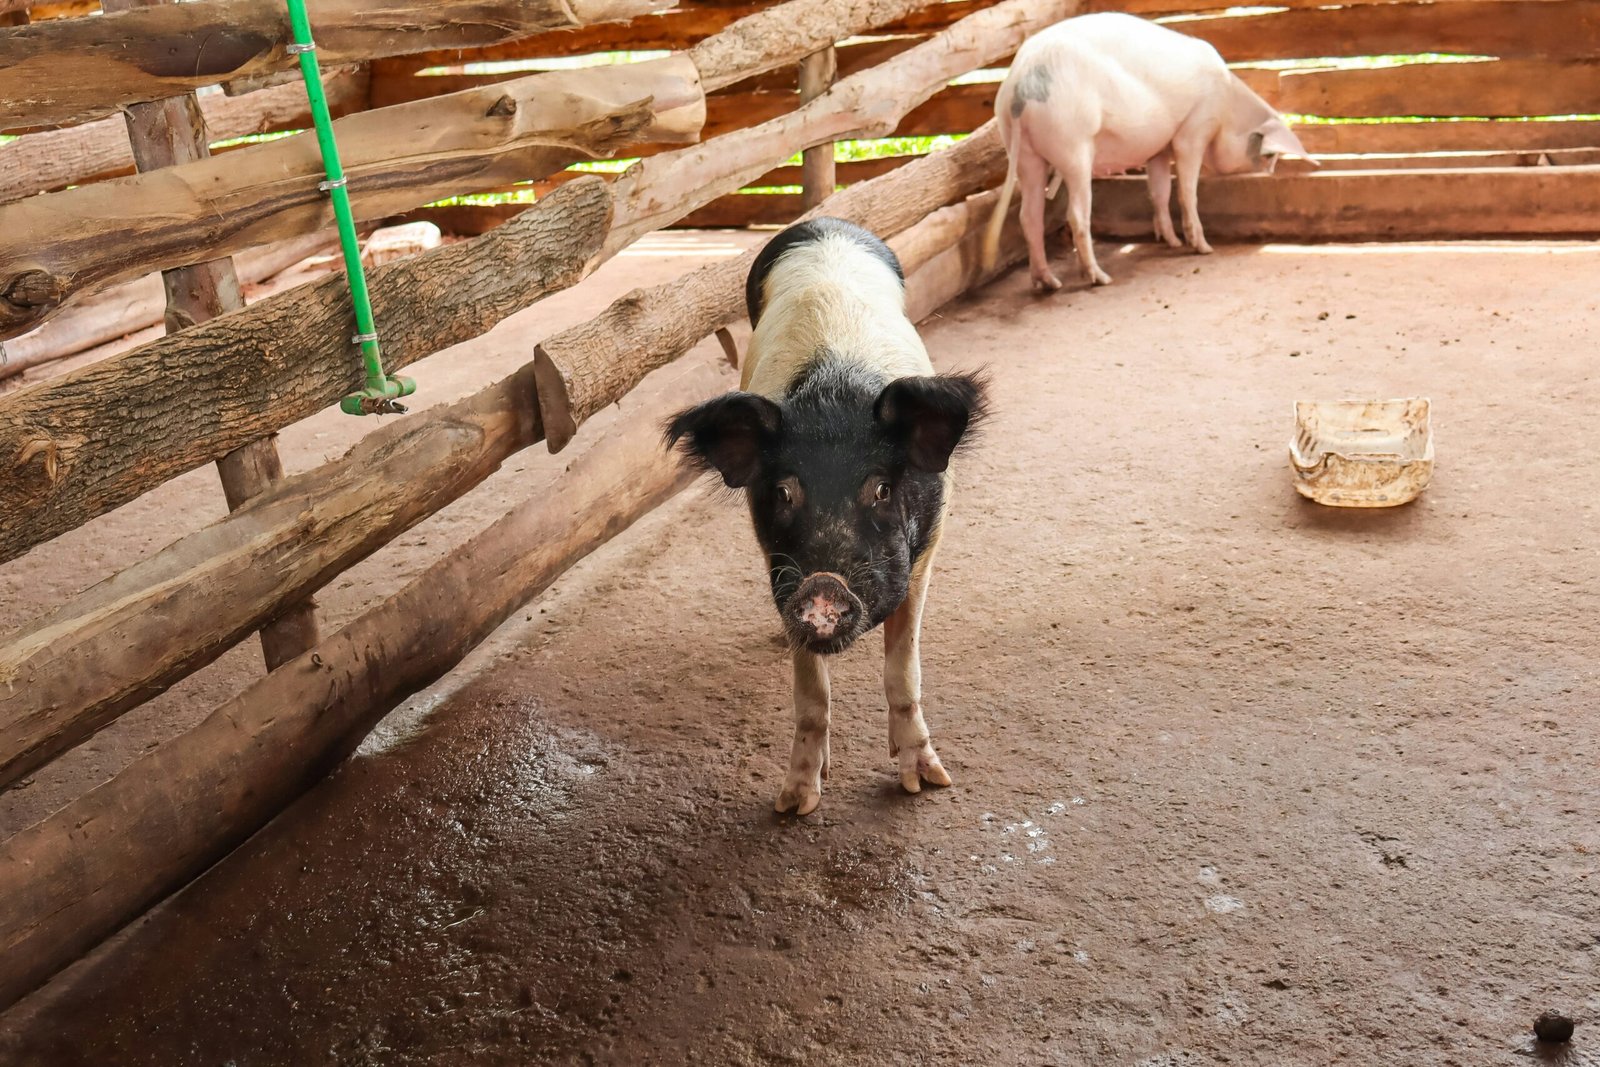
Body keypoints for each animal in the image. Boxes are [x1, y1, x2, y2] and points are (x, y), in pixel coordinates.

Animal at [666, 218, 987, 816]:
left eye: (882, 488)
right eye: (785, 492)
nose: (823, 585)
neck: (833, 392)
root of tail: (822, 222)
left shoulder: (927, 551)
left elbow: (902, 672)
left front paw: (926, 785)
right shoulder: (776, 566)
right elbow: (811, 695)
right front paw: (793, 805)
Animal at [981, 12, 1314, 290]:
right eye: (1269, 154)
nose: (1271, 172)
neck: (1227, 107)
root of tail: (1021, 88)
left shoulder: (1159, 149)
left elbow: (1159, 192)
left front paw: (1172, 242)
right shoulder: (1192, 130)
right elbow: (1187, 191)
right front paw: (1203, 248)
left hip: (1024, 154)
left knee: (1029, 216)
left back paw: (1048, 283)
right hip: (1072, 144)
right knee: (1076, 214)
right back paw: (1100, 278)